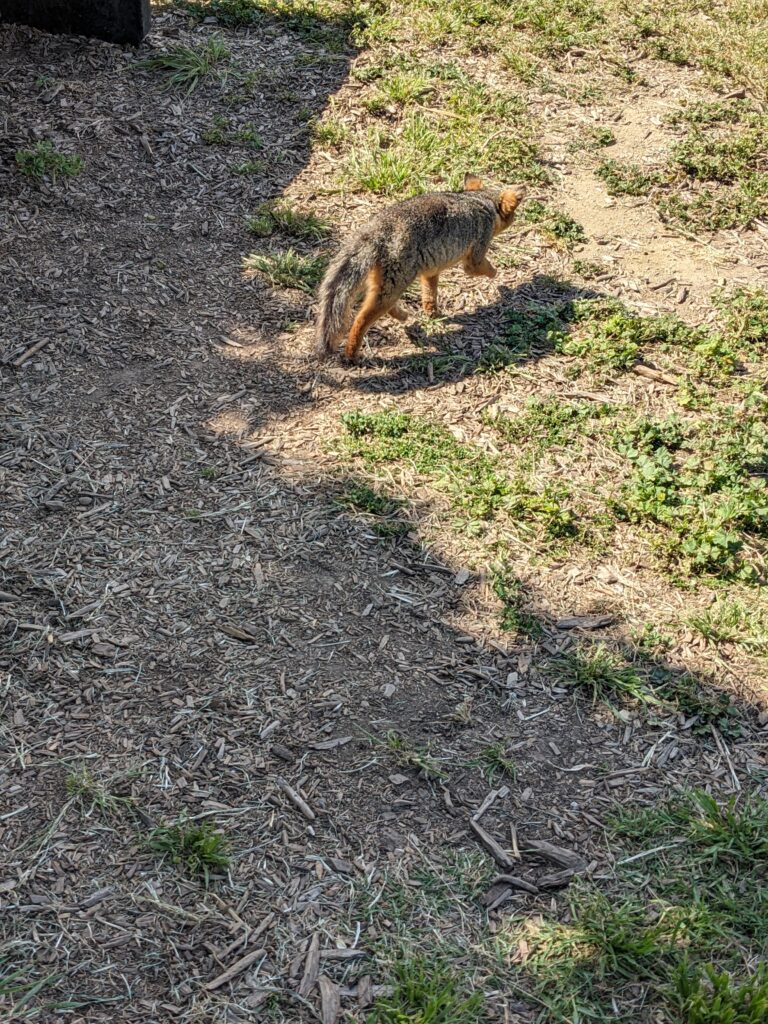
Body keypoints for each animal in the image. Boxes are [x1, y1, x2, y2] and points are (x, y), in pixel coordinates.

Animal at [315, 173, 526, 363]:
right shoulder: (474, 256)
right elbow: (483, 267)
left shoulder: (431, 270)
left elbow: (429, 294)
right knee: (362, 318)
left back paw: (403, 316)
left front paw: (432, 313)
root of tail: (379, 227)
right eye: (513, 214)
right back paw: (352, 353)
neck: (479, 201)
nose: (515, 219)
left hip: (385, 284)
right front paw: (496, 274)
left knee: (378, 304)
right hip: (395, 284)